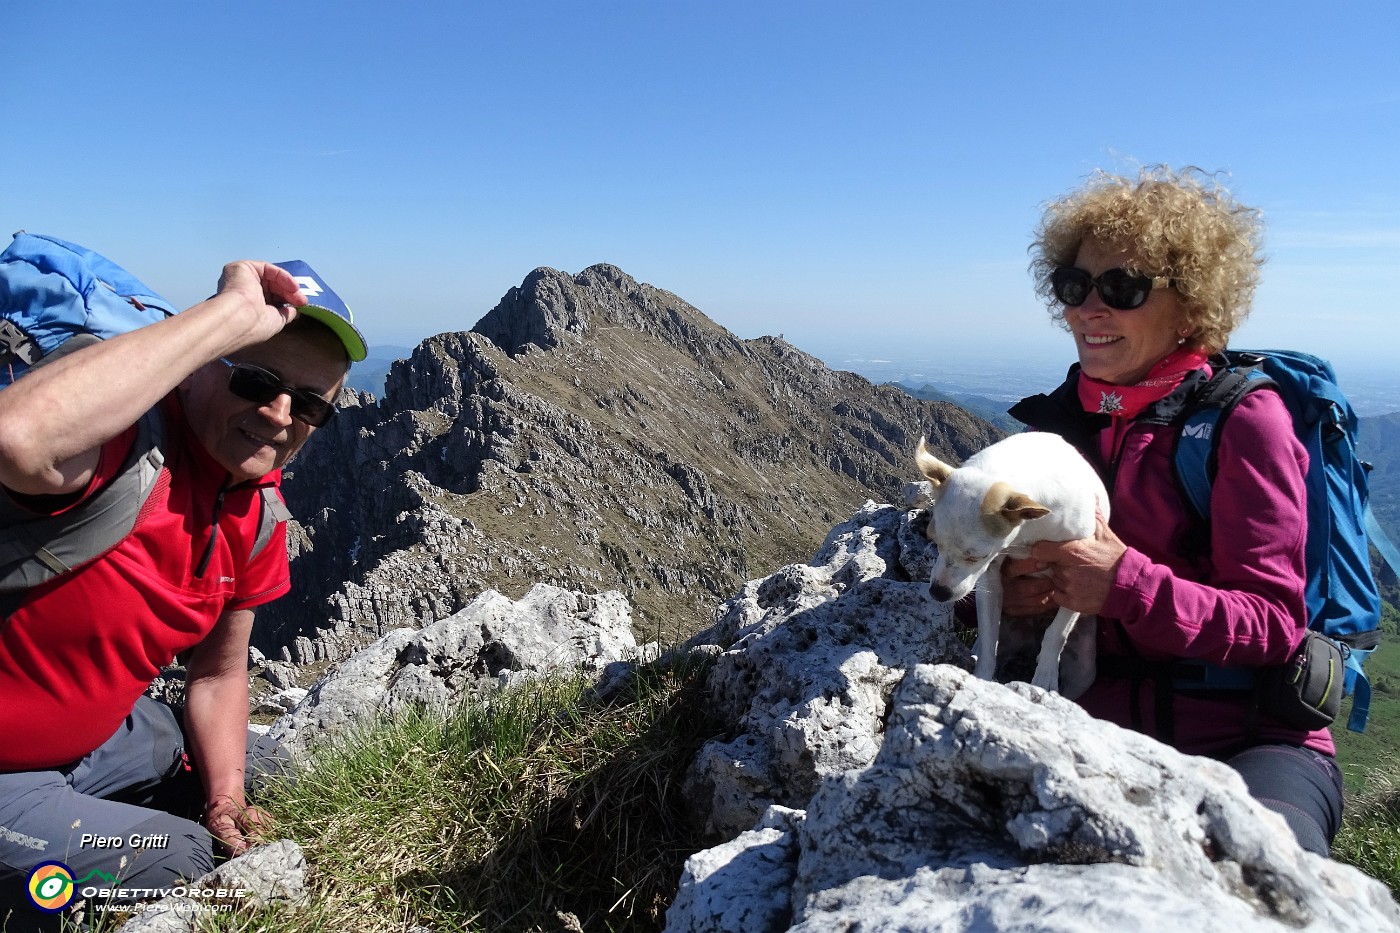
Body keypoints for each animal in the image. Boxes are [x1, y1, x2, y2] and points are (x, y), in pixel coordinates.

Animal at [912, 431, 1108, 689]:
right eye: (934, 541)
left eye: (978, 556)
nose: (938, 592)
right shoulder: (990, 580)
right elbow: (988, 643)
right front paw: (981, 680)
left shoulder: (1078, 576)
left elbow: (1056, 633)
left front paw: (1045, 675)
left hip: (1083, 671)